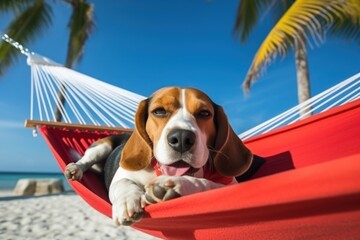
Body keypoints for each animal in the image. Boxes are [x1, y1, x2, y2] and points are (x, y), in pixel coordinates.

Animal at [65, 87, 256, 226]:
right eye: (159, 111)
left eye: (204, 113)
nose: (181, 138)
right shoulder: (121, 176)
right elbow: (123, 182)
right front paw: (127, 201)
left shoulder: (231, 185)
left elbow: (207, 184)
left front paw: (176, 186)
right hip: (101, 146)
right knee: (86, 160)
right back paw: (75, 169)